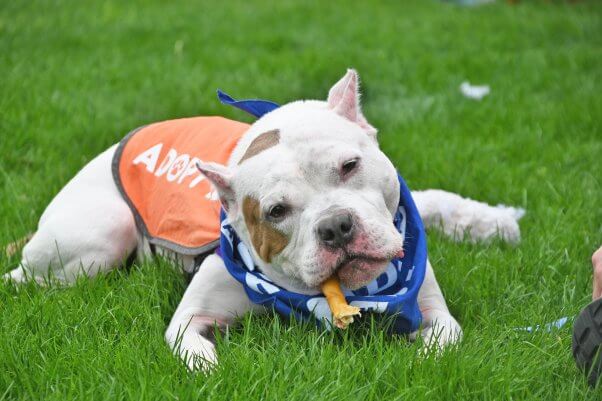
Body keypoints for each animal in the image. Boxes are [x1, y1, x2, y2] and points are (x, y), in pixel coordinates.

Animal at [3, 70, 520, 370]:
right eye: (276, 212)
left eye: (350, 166)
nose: (336, 226)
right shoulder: (190, 319)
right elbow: (195, 351)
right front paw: (208, 367)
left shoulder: (433, 311)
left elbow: (442, 342)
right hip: (101, 238)